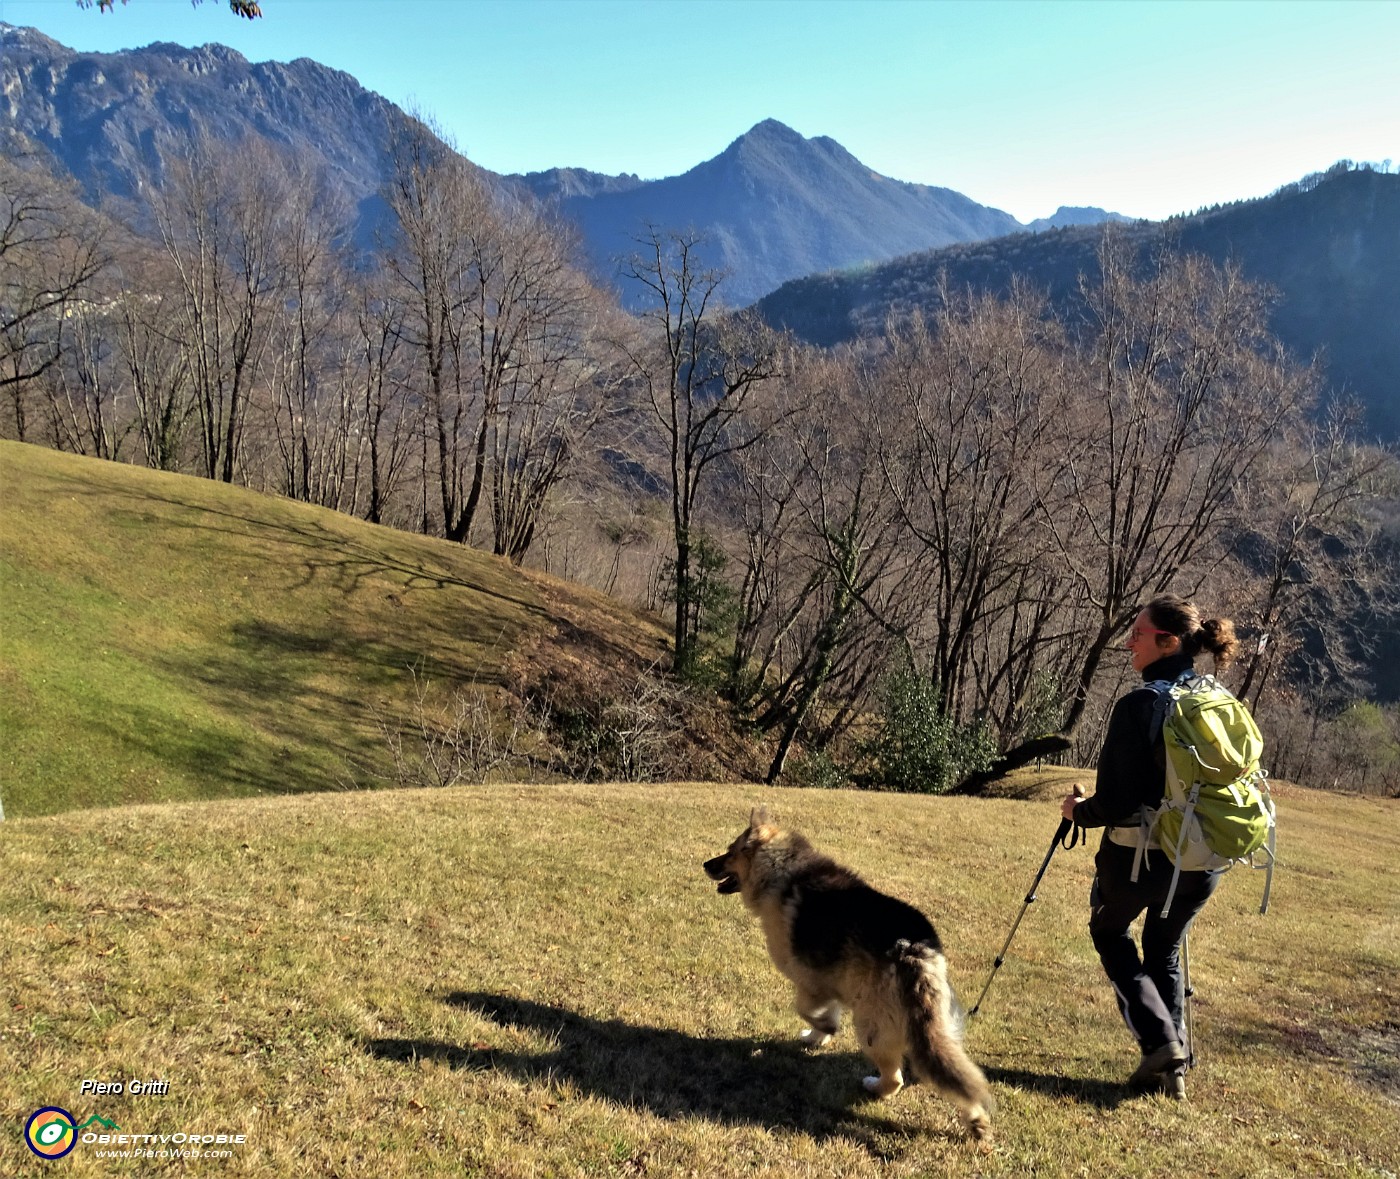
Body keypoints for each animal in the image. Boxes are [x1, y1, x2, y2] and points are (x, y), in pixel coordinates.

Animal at [700, 806, 996, 1136]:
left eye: (730, 851)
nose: (705, 865)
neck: (779, 868)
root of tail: (913, 950)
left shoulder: (810, 982)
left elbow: (806, 1009)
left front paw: (825, 1029)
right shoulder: (832, 984)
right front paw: (817, 1037)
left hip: (870, 1026)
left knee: (895, 1078)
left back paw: (874, 1086)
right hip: (939, 1031)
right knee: (960, 1078)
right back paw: (976, 1119)